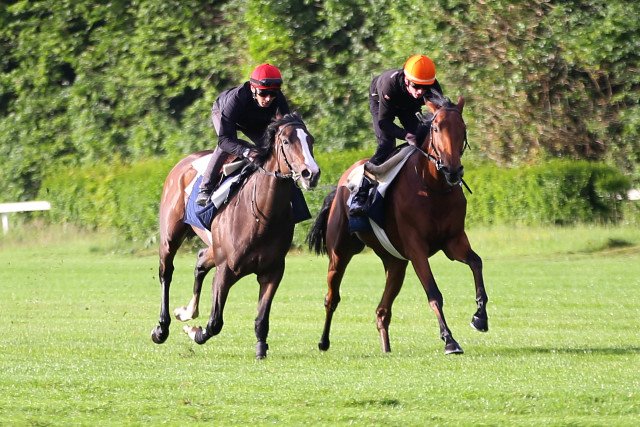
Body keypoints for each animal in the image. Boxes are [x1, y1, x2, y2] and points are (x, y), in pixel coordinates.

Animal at [151, 112, 321, 359]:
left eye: (311, 140)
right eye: (287, 142)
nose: (312, 174)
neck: (261, 217)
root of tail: (183, 162)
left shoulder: (272, 272)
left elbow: (262, 318)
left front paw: (260, 348)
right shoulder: (225, 271)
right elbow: (215, 322)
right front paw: (195, 332)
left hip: (213, 246)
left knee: (201, 260)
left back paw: (187, 311)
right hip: (170, 237)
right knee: (167, 273)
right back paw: (162, 328)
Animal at [307, 95, 488, 355]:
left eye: (462, 128)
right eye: (436, 128)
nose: (453, 170)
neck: (432, 186)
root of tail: (341, 182)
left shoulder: (453, 241)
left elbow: (476, 263)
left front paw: (480, 317)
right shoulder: (416, 247)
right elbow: (434, 292)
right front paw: (449, 340)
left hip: (395, 262)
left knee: (382, 311)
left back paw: (386, 348)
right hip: (339, 253)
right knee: (332, 297)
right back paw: (323, 342)